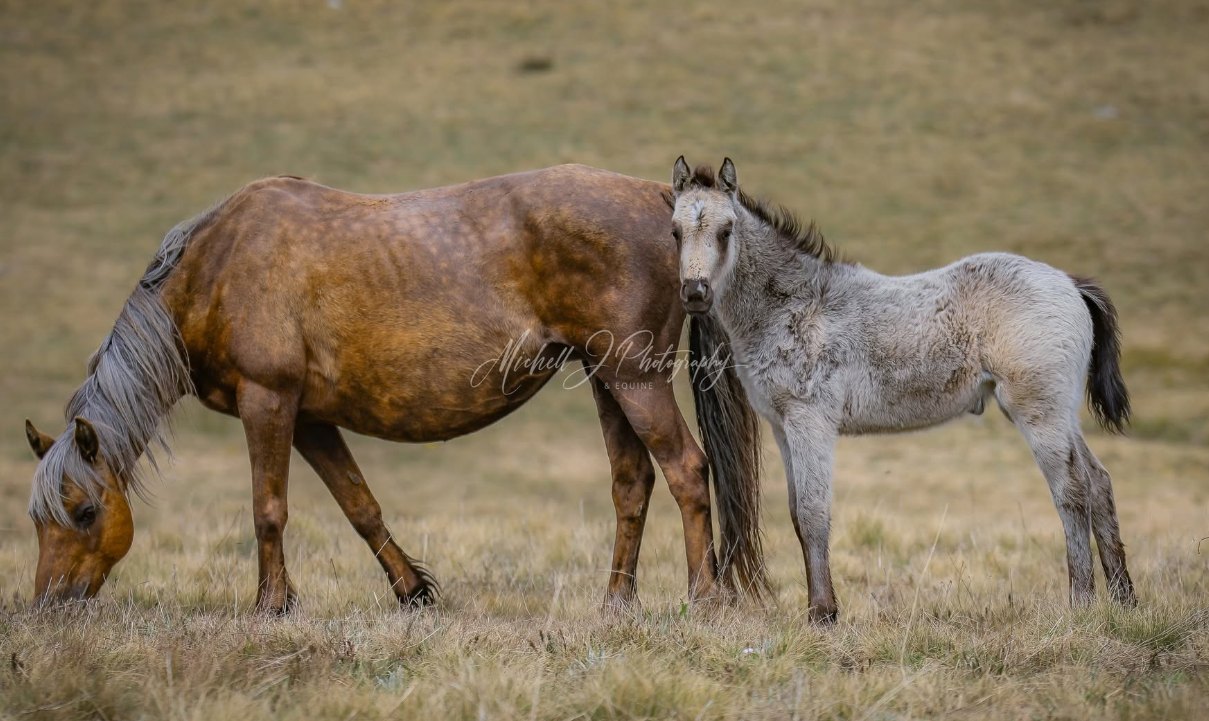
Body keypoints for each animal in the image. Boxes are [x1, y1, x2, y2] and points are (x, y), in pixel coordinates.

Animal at [23, 164, 766, 613]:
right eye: (38, 519)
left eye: (83, 511)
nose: (48, 604)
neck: (218, 264)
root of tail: (663, 201)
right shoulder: (309, 419)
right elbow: (360, 506)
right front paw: (413, 590)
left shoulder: (268, 402)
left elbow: (268, 509)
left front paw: (270, 605)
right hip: (606, 379)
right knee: (631, 483)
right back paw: (615, 603)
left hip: (635, 379)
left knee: (686, 469)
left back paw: (705, 598)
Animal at [668, 156, 1137, 623]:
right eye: (675, 231)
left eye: (726, 230)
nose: (694, 293)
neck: (796, 305)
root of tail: (1069, 283)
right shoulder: (783, 428)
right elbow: (797, 517)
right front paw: (821, 606)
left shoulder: (810, 422)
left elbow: (813, 513)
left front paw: (823, 613)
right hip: (1061, 415)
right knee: (1099, 482)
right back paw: (1124, 600)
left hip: (1039, 413)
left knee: (1072, 490)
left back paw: (1081, 602)